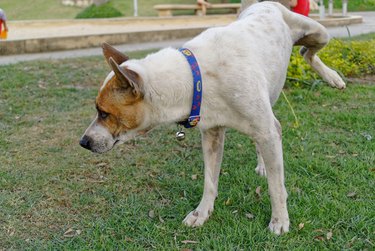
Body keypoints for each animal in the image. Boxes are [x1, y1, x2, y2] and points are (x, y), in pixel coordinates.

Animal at [79, 0, 346, 234]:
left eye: (104, 112)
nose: (83, 142)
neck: (195, 76)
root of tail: (263, 3)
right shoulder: (212, 134)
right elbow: (209, 180)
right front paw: (202, 212)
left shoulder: (266, 130)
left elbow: (276, 186)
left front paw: (279, 220)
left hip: (318, 33)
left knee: (306, 52)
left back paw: (332, 77)